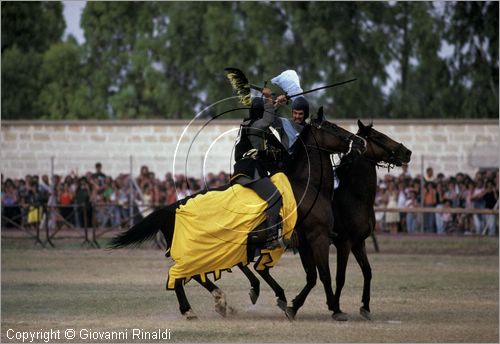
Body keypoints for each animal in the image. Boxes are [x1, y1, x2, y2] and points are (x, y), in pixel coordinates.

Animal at [110, 111, 368, 320]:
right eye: (333, 127)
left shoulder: (304, 242)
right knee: (181, 275)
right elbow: (323, 275)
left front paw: (291, 304)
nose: (360, 142)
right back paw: (191, 309)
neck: (307, 185)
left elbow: (311, 276)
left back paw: (219, 301)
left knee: (194, 275)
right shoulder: (318, 238)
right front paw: (335, 309)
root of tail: (173, 207)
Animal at [332, 119, 410, 322]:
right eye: (379, 136)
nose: (407, 152)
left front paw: (365, 307)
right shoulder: (344, 244)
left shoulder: (358, 243)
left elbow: (367, 272)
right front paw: (336, 309)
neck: (354, 198)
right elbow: (340, 277)